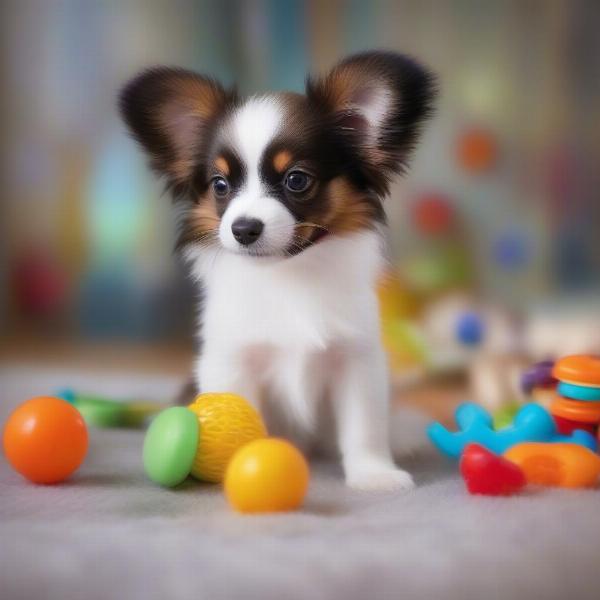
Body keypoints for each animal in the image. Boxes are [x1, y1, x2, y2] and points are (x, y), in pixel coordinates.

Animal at [119, 50, 434, 492]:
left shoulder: (357, 361)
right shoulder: (231, 363)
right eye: (220, 185)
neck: (289, 275)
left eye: (296, 180)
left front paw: (374, 474)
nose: (243, 229)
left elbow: (364, 426)